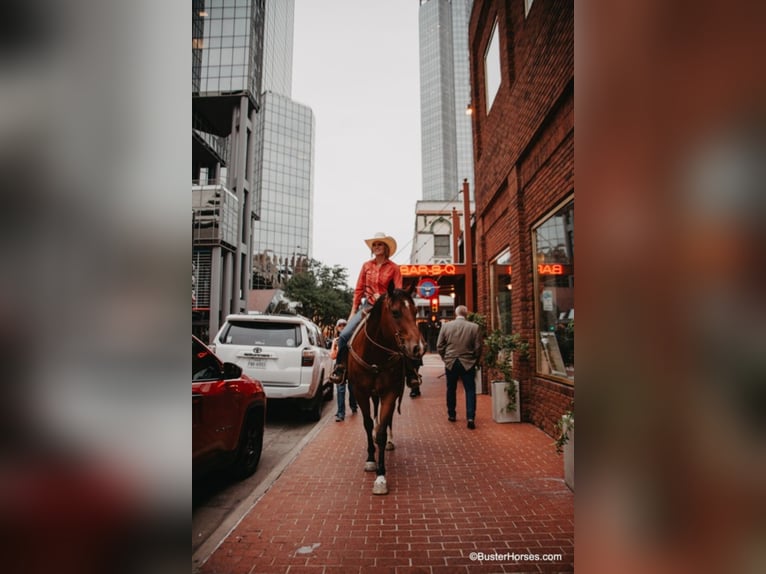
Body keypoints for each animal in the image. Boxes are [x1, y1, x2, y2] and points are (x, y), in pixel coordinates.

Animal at [348, 282, 426, 496]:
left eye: (416, 311)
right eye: (395, 312)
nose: (418, 348)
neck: (375, 354)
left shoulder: (390, 392)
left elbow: (383, 430)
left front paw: (381, 477)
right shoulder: (360, 392)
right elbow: (367, 424)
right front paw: (370, 460)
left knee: (388, 419)